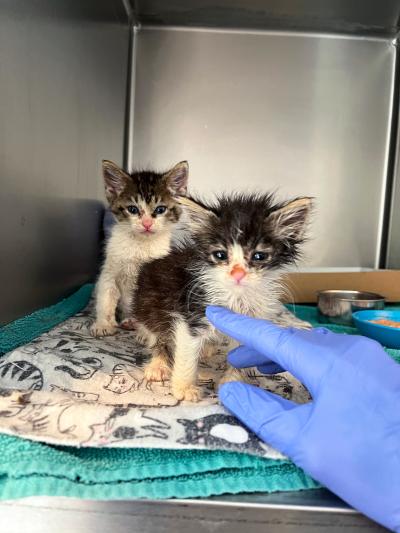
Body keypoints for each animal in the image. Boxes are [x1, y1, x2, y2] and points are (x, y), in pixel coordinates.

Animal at [90, 158, 189, 338]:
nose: (147, 223)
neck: (140, 245)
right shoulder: (109, 270)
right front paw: (103, 324)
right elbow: (106, 296)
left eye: (160, 209)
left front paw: (147, 334)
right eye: (133, 209)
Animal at [134, 193, 312, 402]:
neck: (236, 297)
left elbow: (239, 352)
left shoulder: (247, 320)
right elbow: (185, 351)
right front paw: (184, 388)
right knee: (158, 334)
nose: (237, 273)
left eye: (259, 256)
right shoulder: (192, 311)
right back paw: (158, 364)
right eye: (220, 255)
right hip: (150, 302)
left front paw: (233, 382)